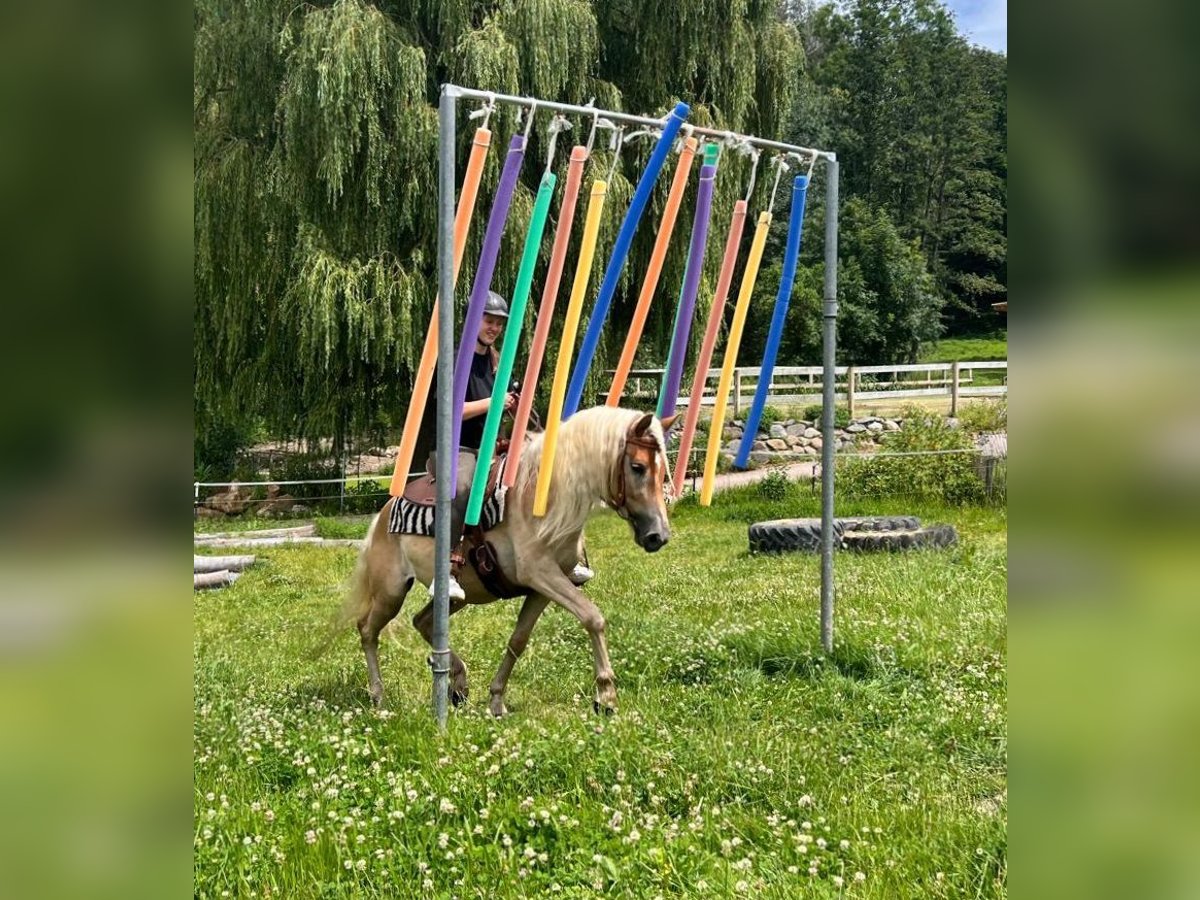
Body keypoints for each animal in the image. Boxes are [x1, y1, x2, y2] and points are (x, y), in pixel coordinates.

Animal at [343, 408, 676, 720]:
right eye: (637, 467)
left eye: (663, 470)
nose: (658, 536)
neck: (544, 498)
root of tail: (384, 512)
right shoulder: (542, 574)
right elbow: (593, 617)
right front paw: (606, 697)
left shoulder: (544, 587)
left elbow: (518, 640)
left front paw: (496, 700)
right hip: (391, 592)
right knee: (367, 629)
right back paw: (379, 697)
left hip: (457, 598)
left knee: (421, 622)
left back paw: (457, 683)